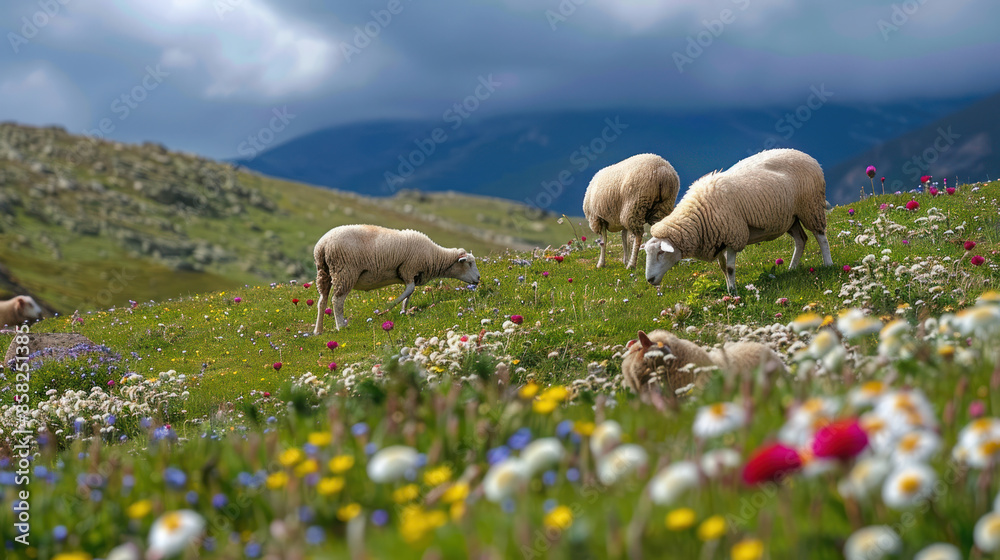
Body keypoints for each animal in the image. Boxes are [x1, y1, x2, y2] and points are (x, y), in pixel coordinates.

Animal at [312, 225, 481, 333]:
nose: (479, 278)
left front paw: (403, 311)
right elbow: (409, 291)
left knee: (322, 300)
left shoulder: (412, 274)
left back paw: (318, 331)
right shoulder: (409, 268)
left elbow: (409, 294)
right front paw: (387, 308)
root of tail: (323, 245)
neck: (434, 257)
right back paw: (341, 326)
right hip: (345, 272)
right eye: (469, 263)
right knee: (337, 300)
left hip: (324, 273)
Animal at [644, 148, 833, 293]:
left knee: (821, 237)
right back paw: (792, 268)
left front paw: (734, 292)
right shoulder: (717, 239)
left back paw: (828, 264)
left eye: (661, 253)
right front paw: (729, 290)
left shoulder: (734, 235)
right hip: (790, 218)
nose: (650, 279)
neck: (698, 216)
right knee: (801, 240)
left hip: (810, 207)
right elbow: (722, 268)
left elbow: (729, 268)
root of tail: (807, 156)